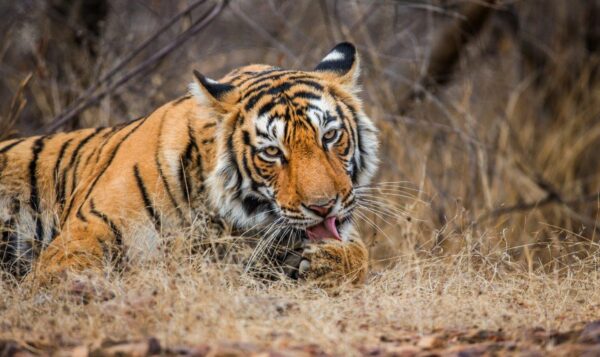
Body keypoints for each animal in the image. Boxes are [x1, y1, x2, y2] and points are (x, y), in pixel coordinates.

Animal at [0, 42, 378, 286]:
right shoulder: (85, 230)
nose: (323, 207)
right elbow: (66, 273)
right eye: (271, 152)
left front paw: (325, 263)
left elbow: (359, 253)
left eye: (329, 136)